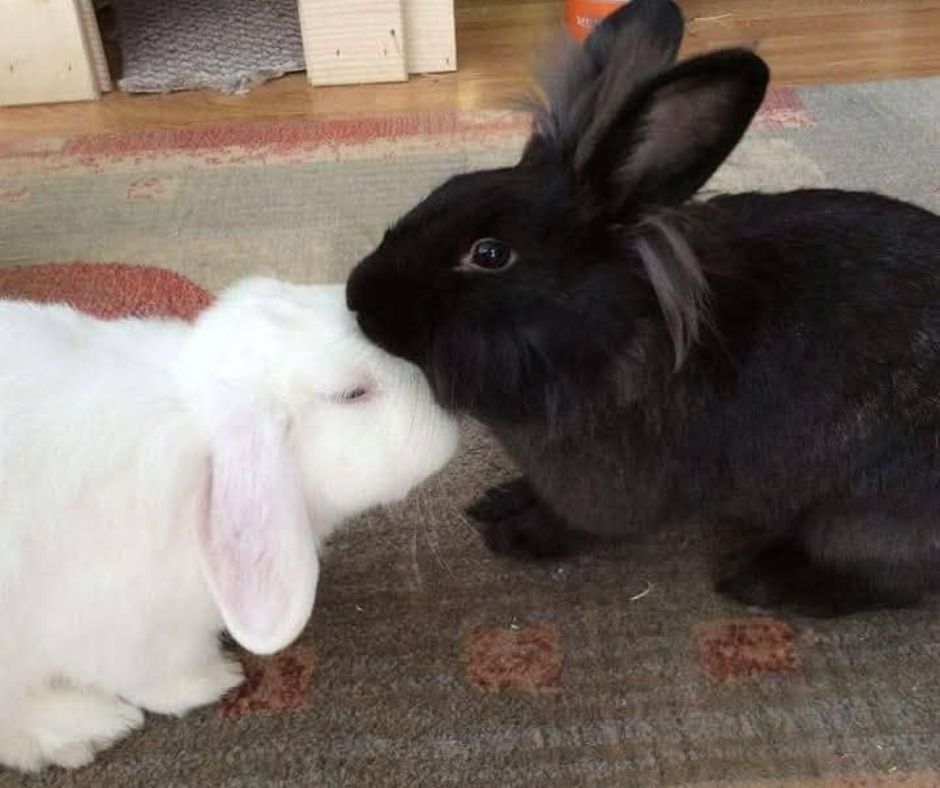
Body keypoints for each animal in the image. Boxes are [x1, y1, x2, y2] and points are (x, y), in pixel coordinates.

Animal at [0, 278, 457, 773]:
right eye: (351, 394)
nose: (448, 394)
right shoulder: (118, 627)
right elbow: (153, 679)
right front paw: (217, 679)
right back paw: (91, 726)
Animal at [346, 0, 940, 619]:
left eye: (490, 254)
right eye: (443, 190)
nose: (358, 298)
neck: (612, 333)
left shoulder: (603, 492)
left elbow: (576, 521)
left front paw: (516, 531)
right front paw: (500, 500)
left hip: (864, 518)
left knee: (883, 581)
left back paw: (758, 582)